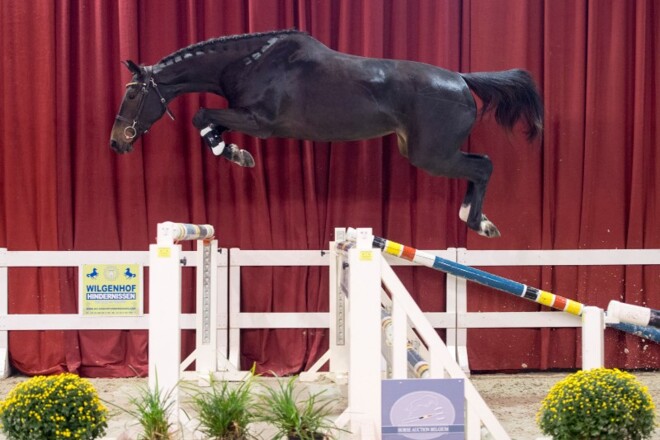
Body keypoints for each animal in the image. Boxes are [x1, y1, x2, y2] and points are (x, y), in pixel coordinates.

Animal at [110, 29, 543, 238]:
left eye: (131, 93)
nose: (117, 142)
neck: (252, 62)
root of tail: (461, 80)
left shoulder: (260, 122)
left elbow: (201, 116)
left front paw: (234, 153)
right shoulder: (245, 116)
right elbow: (209, 123)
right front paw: (232, 151)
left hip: (431, 155)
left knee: (483, 166)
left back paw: (478, 222)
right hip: (425, 152)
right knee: (479, 166)